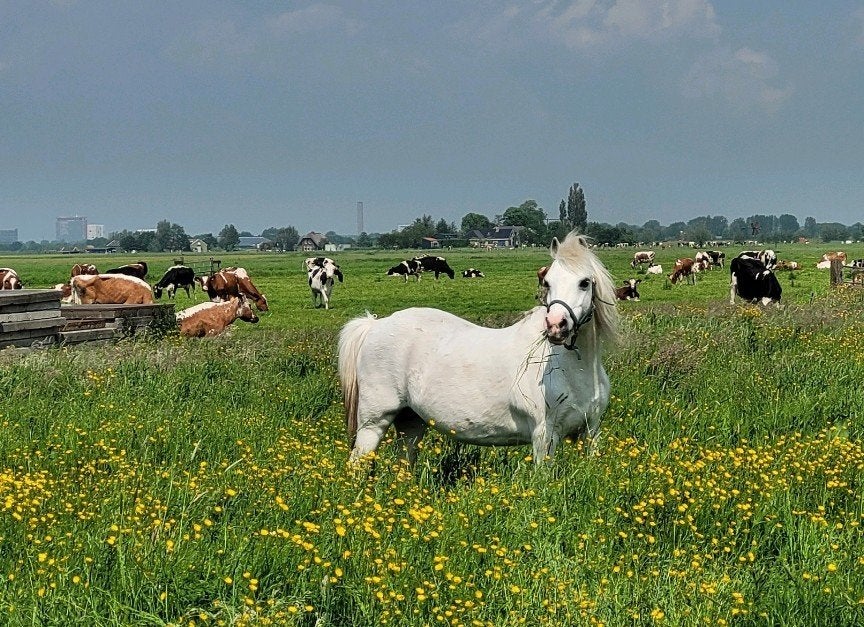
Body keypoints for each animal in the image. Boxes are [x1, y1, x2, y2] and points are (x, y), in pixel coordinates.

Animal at [338, 232, 619, 466]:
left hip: (411, 422)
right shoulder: (544, 435)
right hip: (374, 422)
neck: (573, 369)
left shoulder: (591, 432)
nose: (555, 326)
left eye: (584, 282)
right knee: (358, 459)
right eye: (547, 282)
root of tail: (374, 325)